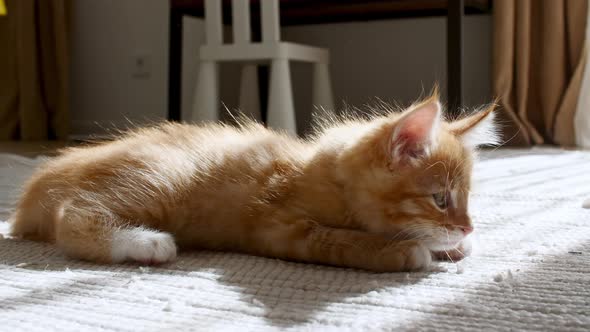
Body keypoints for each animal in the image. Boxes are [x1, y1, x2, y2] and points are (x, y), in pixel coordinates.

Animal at [9, 93, 500, 272]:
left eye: (467, 200)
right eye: (440, 199)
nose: (468, 225)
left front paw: (456, 245)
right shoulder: (279, 225)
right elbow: (341, 241)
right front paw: (407, 250)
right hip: (162, 178)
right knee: (73, 217)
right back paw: (145, 243)